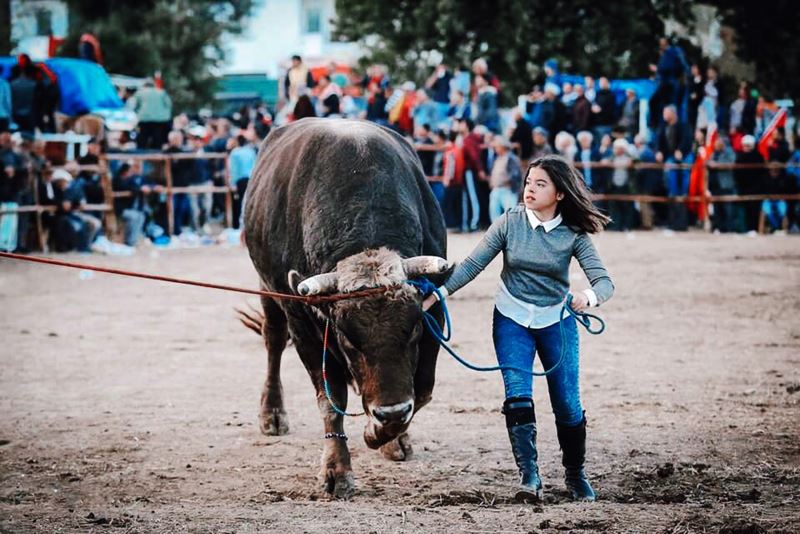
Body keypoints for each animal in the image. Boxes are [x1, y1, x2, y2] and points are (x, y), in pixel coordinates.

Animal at [242, 119, 450, 500]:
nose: (391, 411)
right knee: (273, 340)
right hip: (267, 288)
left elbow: (423, 389)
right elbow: (330, 397)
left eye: (413, 330)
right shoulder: (304, 324)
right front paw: (337, 469)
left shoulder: (434, 312)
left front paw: (387, 435)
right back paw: (272, 414)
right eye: (347, 339)